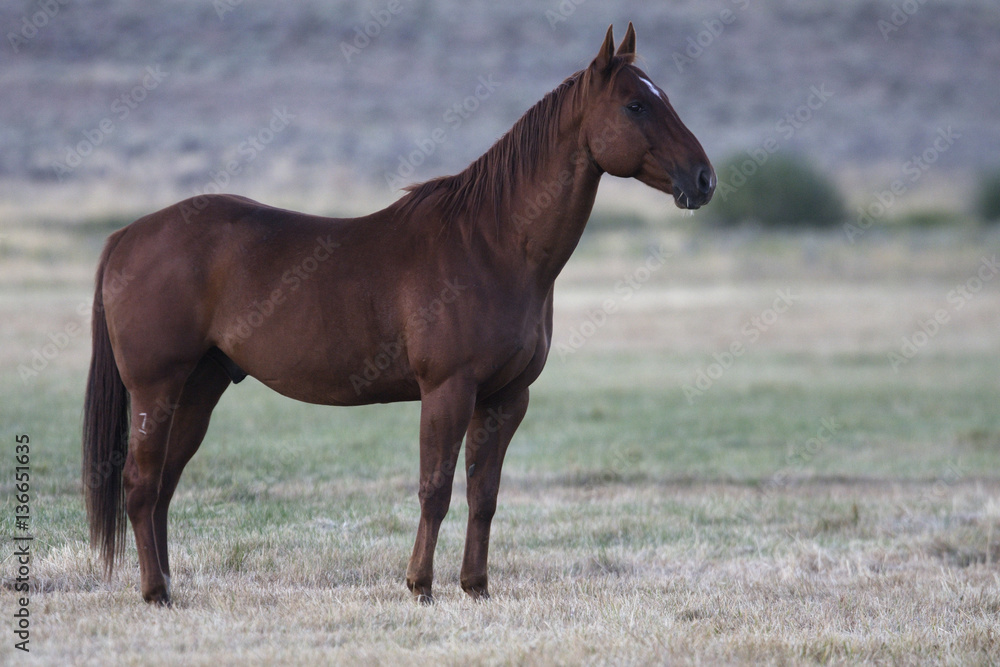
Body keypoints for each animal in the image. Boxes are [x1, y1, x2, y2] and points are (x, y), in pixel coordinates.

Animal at [82, 23, 716, 604]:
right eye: (635, 104)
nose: (704, 179)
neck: (493, 244)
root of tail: (127, 236)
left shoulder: (506, 397)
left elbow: (484, 495)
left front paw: (476, 586)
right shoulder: (448, 390)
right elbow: (435, 489)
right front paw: (420, 585)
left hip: (199, 387)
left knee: (164, 485)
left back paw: (168, 585)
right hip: (157, 388)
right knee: (141, 484)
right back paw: (153, 591)